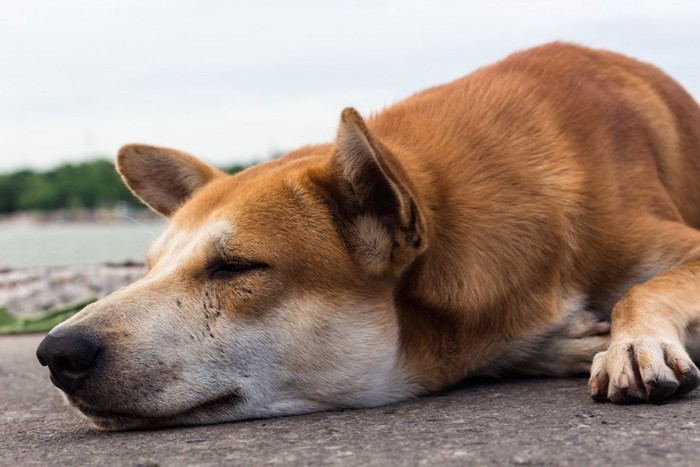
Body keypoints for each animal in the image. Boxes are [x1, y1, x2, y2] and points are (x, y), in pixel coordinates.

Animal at [35, 44, 696, 432]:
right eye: (147, 269)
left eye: (236, 267)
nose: (55, 353)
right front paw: (573, 342)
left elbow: (640, 290)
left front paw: (633, 342)